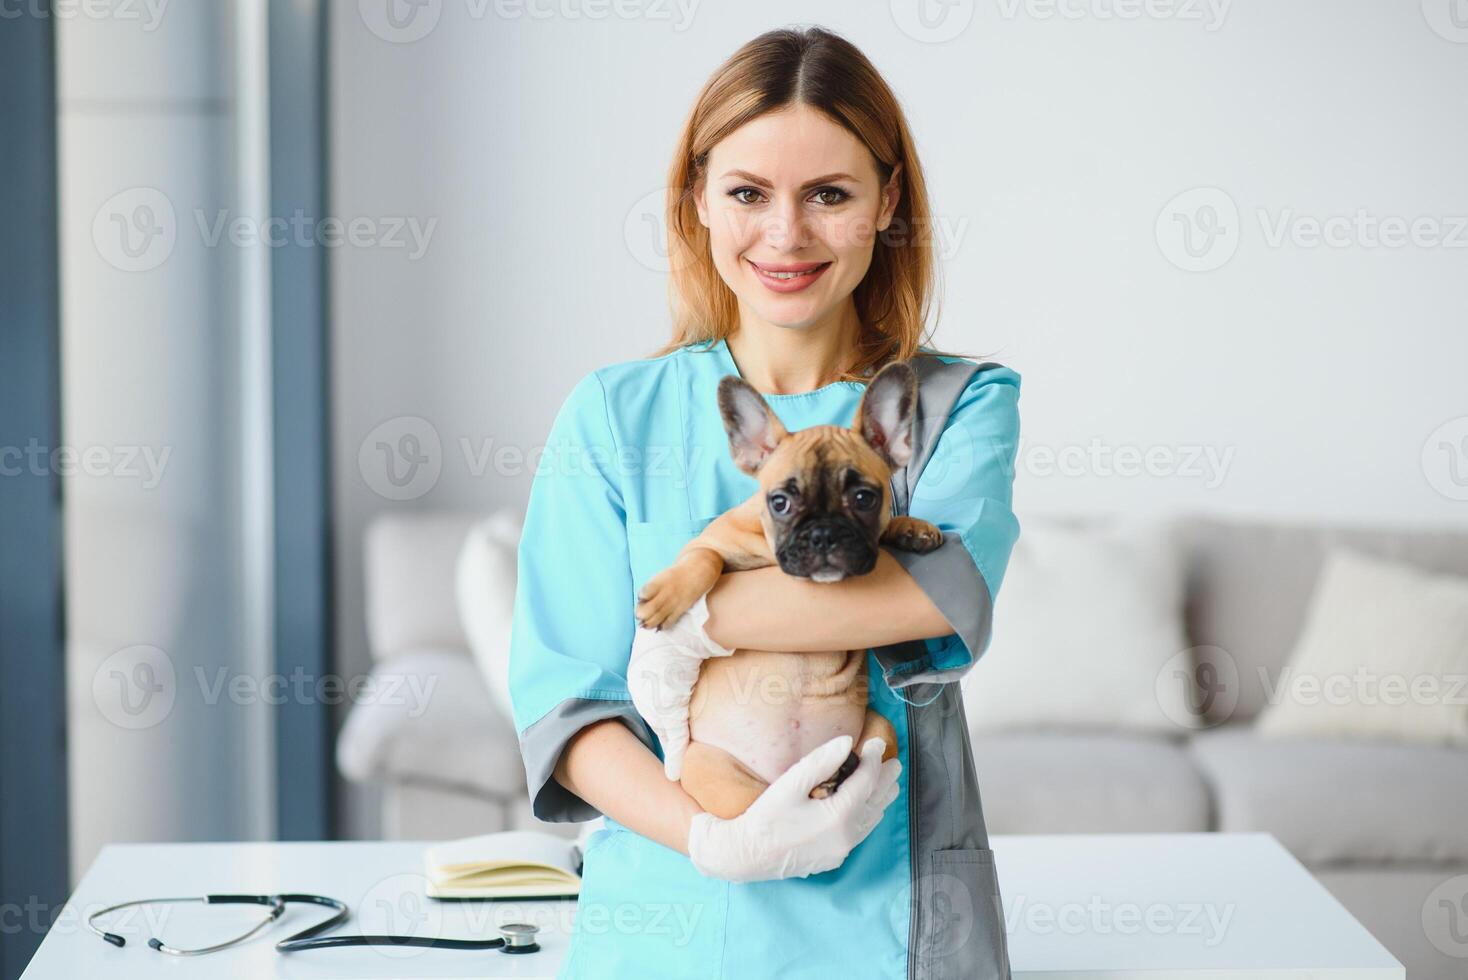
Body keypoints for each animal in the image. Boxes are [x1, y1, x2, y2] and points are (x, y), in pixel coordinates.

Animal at [637, 359, 945, 821]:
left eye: (864, 498)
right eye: (780, 502)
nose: (823, 534)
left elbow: (888, 527)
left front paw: (911, 527)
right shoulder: (709, 543)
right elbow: (704, 559)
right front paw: (668, 594)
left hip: (881, 729)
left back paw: (836, 776)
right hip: (708, 770)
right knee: (755, 808)